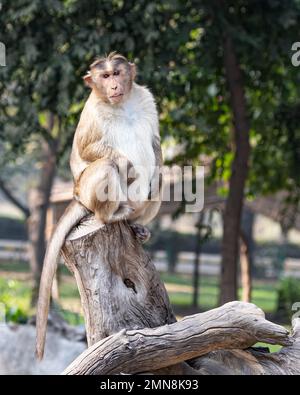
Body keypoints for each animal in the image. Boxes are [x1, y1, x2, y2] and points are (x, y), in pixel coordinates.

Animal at [36, 53, 163, 362]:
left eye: (116, 73)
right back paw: (112, 214)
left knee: (158, 180)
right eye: (104, 77)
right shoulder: (92, 110)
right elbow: (87, 148)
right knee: (106, 165)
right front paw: (128, 167)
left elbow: (155, 144)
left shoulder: (147, 98)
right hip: (88, 192)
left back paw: (137, 226)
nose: (114, 85)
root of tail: (77, 196)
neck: (121, 103)